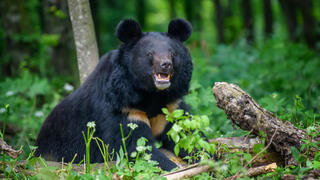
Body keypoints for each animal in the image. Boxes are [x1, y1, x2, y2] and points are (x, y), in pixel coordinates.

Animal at [36, 19, 194, 171]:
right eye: (150, 53)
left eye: (173, 54)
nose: (166, 64)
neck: (152, 94)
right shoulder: (124, 107)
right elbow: (135, 146)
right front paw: (174, 168)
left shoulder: (171, 106)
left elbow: (185, 135)